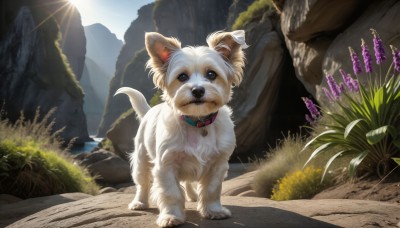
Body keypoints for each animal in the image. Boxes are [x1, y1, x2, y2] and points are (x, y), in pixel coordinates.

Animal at [115, 29, 247, 226]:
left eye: (211, 74)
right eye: (182, 77)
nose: (198, 90)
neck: (197, 122)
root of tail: (148, 111)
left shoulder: (218, 165)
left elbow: (211, 190)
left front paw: (213, 210)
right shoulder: (166, 165)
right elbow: (172, 193)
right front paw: (171, 216)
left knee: (188, 182)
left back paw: (193, 196)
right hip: (141, 159)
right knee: (142, 183)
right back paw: (139, 202)